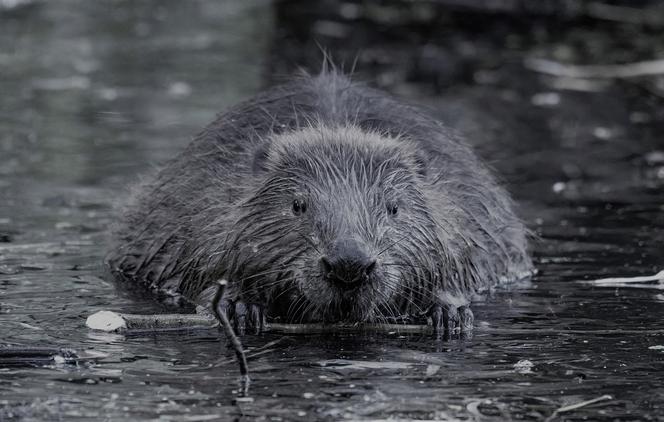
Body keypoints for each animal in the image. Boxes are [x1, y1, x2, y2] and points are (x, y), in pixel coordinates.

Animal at [109, 71, 536, 336]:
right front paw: (239, 307)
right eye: (298, 205)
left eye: (394, 207)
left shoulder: (463, 217)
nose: (349, 265)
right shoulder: (203, 213)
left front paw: (449, 312)